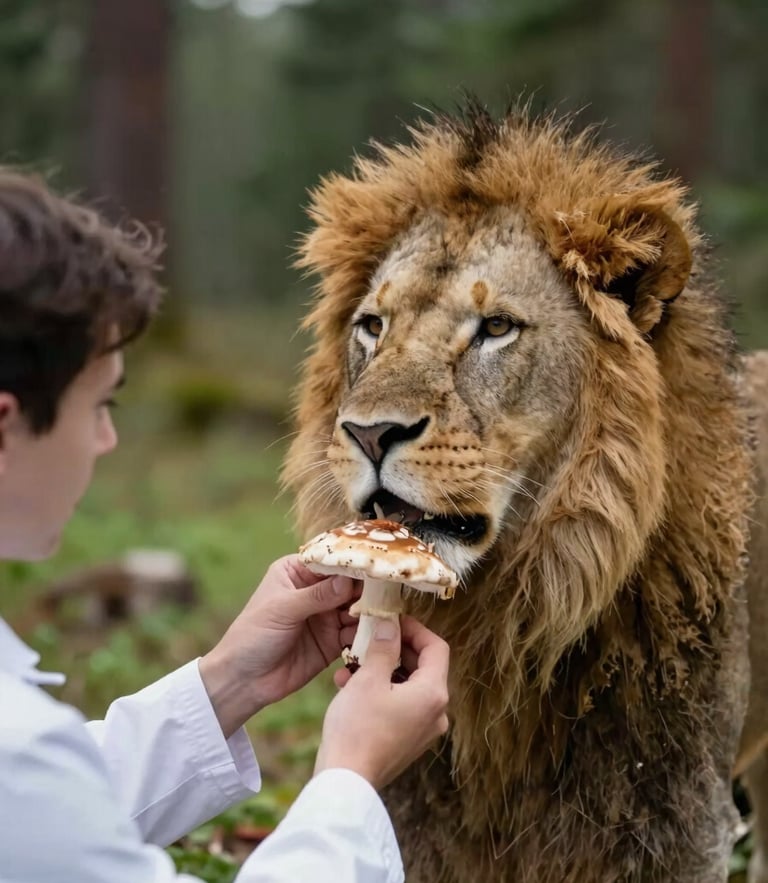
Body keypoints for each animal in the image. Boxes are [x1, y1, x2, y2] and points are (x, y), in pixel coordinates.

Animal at [283, 102, 768, 882]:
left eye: (497, 327)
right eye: (372, 325)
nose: (368, 433)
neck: (512, 611)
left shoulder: (673, 818)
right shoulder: (422, 819)